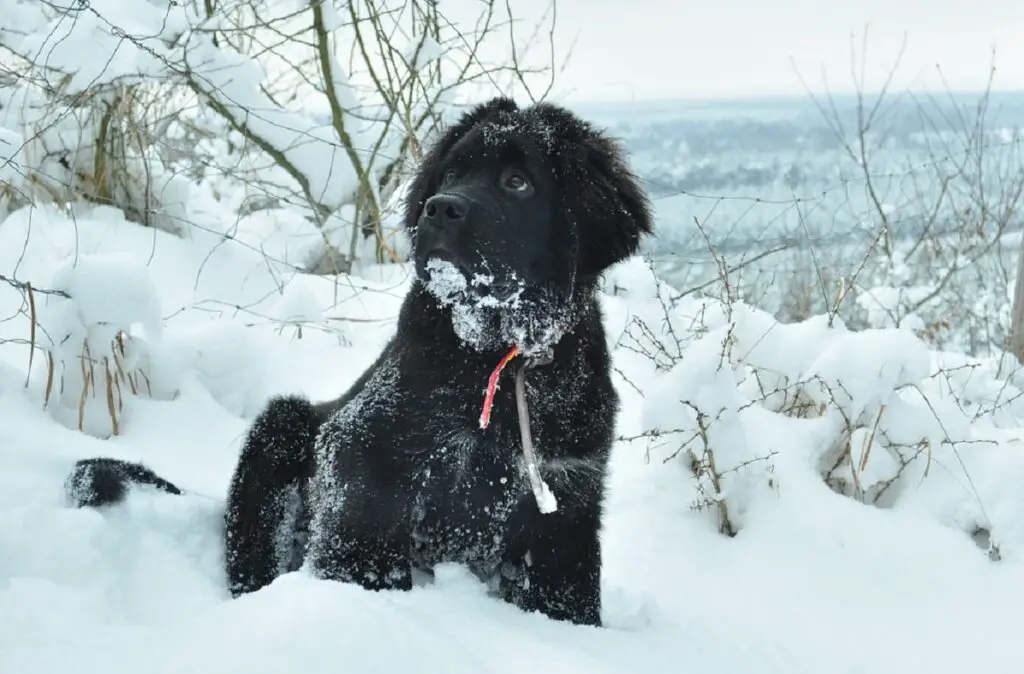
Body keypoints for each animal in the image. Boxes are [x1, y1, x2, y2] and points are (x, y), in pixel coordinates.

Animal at [64, 95, 651, 622]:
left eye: (517, 182)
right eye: (451, 173)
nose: (440, 208)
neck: (494, 355)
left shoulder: (567, 500)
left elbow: (568, 597)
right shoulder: (363, 451)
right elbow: (361, 550)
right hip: (280, 429)